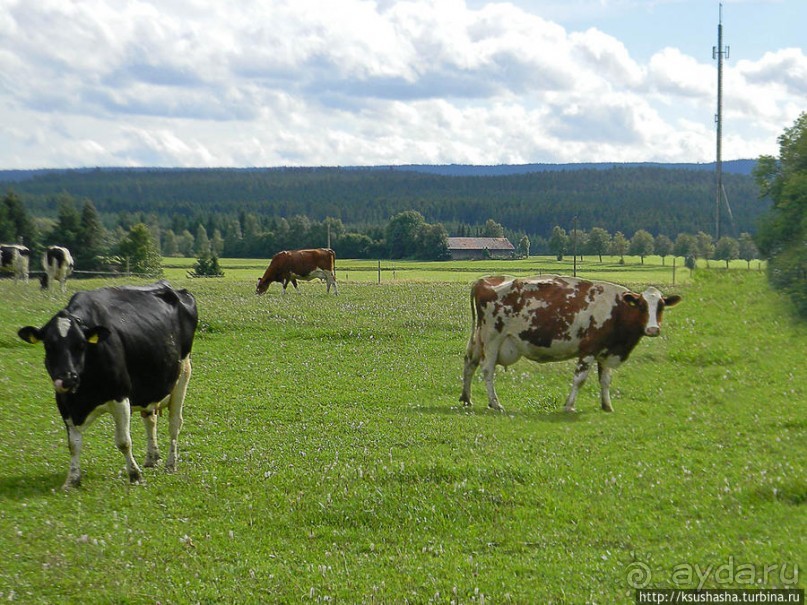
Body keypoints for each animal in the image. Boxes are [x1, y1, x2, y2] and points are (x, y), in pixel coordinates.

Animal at [18, 280, 198, 488]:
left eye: (81, 345)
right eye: (48, 345)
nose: (67, 378)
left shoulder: (120, 396)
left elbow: (123, 441)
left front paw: (134, 475)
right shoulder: (64, 403)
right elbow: (73, 445)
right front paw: (72, 479)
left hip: (183, 374)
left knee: (175, 423)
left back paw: (170, 464)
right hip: (150, 386)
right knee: (150, 419)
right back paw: (152, 458)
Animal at [460, 276, 680, 412]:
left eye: (661, 306)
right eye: (642, 306)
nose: (653, 329)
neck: (617, 310)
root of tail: (484, 280)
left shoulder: (605, 352)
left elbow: (605, 380)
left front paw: (607, 406)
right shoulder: (589, 349)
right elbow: (579, 379)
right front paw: (569, 406)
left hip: (479, 340)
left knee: (470, 364)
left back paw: (466, 398)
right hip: (492, 339)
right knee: (487, 370)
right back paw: (495, 403)